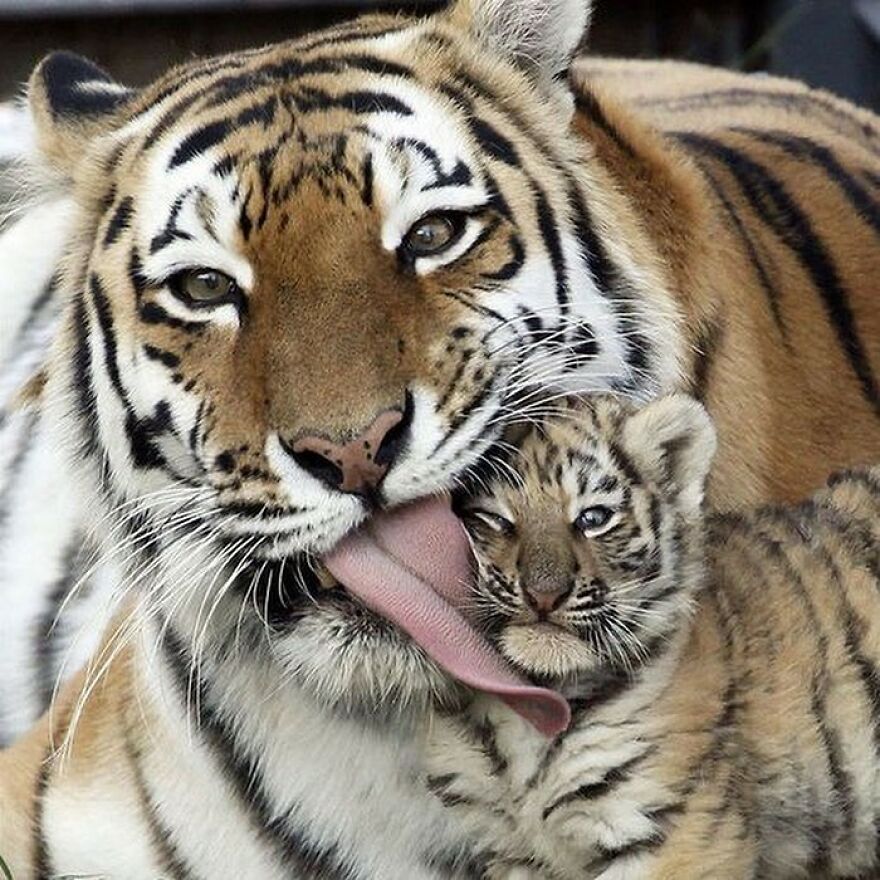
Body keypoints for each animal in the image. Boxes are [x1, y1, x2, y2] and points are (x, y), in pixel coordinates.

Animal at [439, 394, 880, 880]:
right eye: (492, 518)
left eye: (593, 518)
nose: (544, 594)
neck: (536, 696)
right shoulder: (509, 846)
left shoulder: (678, 831)